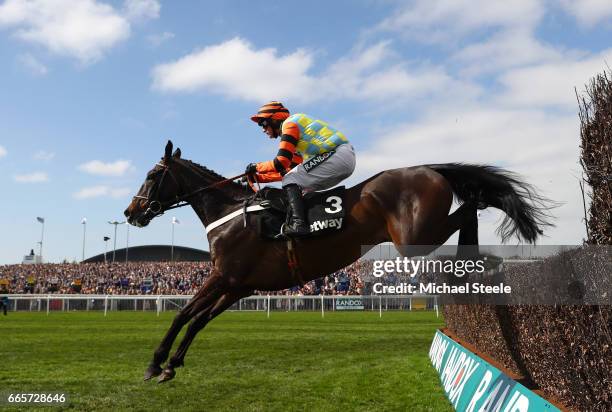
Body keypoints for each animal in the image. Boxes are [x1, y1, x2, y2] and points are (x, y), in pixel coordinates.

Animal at [123, 141, 548, 384]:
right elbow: (198, 319)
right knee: (474, 203)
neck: (229, 214)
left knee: (473, 204)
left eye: (152, 174)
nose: (131, 212)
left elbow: (183, 314)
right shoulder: (239, 285)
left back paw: (476, 262)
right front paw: (171, 364)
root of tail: (429, 168)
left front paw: (155, 363)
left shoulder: (223, 276)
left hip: (414, 238)